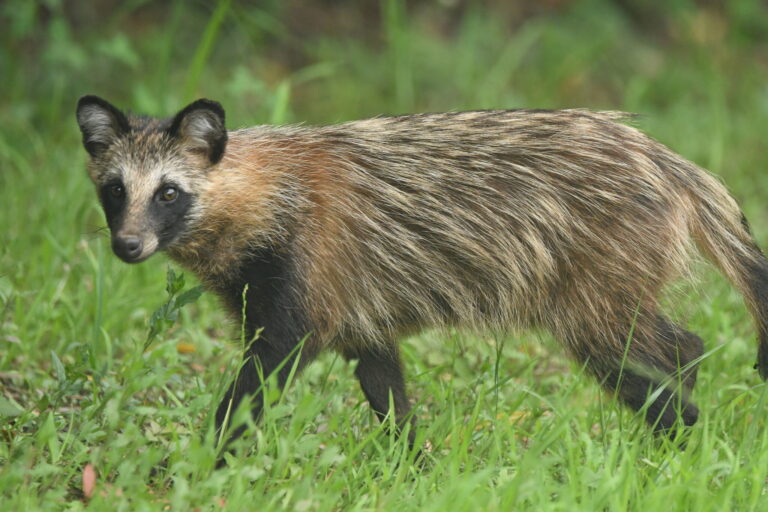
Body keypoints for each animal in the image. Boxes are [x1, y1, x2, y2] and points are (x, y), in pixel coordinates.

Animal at [76, 95, 768, 452]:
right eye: (114, 190)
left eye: (168, 192)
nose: (128, 245)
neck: (268, 189)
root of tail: (670, 164)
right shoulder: (357, 305)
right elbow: (384, 384)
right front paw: (408, 463)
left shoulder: (305, 271)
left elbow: (264, 371)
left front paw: (209, 457)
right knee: (665, 346)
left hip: (597, 271)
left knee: (646, 354)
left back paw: (679, 432)